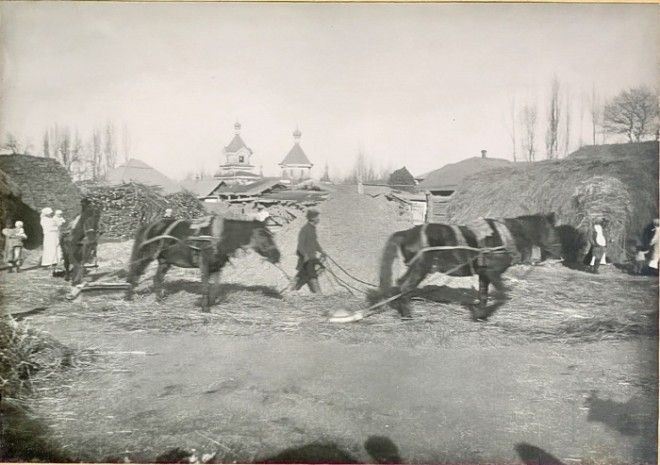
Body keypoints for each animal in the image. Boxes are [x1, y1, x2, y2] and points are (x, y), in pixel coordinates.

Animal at [126, 215, 282, 310]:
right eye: (262, 234)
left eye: (271, 234)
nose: (277, 255)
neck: (217, 237)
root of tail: (150, 226)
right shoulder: (204, 264)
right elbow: (205, 287)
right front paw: (204, 308)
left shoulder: (217, 267)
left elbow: (215, 287)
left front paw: (211, 304)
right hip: (146, 256)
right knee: (135, 273)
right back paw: (128, 297)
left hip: (165, 261)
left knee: (157, 278)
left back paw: (159, 300)